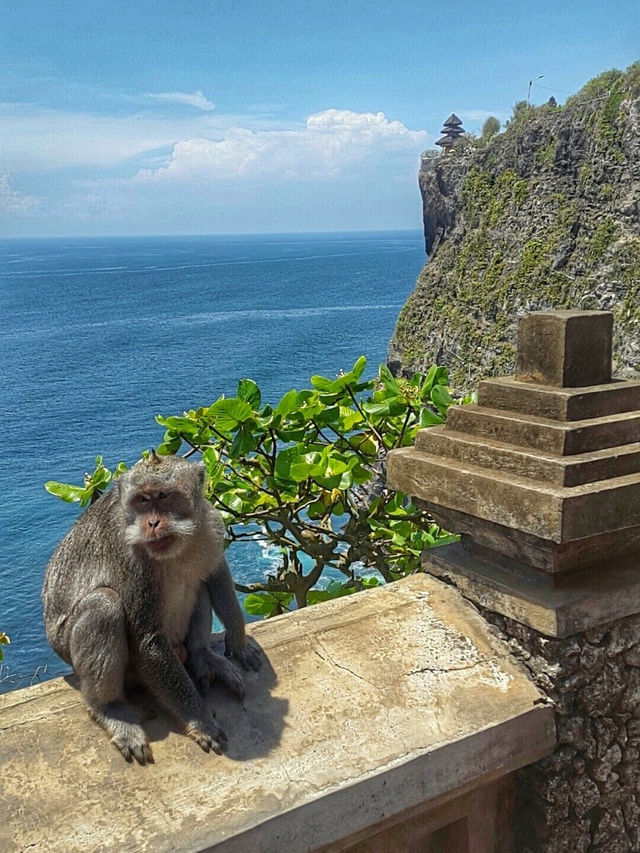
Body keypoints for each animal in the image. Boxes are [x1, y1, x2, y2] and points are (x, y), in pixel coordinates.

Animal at [42, 452, 260, 764]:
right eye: (142, 500)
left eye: (164, 496)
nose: (153, 523)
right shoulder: (129, 556)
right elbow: (147, 640)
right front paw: (199, 720)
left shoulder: (209, 523)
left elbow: (215, 573)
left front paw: (239, 640)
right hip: (79, 652)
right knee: (103, 605)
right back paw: (109, 709)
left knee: (197, 584)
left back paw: (202, 657)